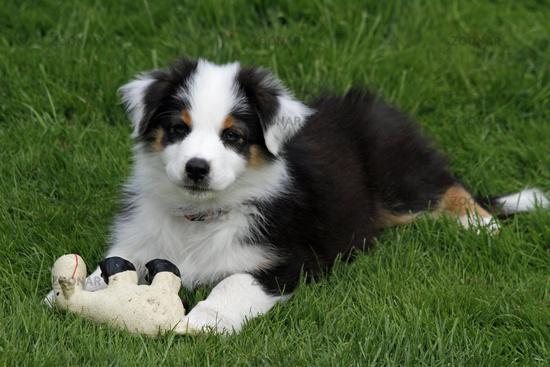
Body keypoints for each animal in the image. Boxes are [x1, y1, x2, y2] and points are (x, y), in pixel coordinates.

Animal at [45, 56, 548, 334]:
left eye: (233, 136)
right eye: (177, 129)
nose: (197, 168)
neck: (200, 215)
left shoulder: (291, 260)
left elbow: (234, 282)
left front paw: (200, 322)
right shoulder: (138, 241)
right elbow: (108, 268)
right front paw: (69, 292)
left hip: (397, 175)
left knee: (447, 187)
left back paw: (480, 224)